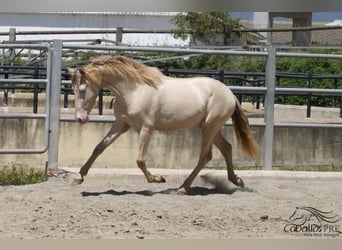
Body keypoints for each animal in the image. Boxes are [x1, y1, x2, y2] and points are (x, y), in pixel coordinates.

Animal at [67, 55, 260, 195]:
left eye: (82, 89)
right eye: (73, 89)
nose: (80, 119)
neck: (134, 90)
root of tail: (229, 93)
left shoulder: (146, 128)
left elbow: (140, 160)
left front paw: (158, 178)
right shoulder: (121, 125)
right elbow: (98, 148)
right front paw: (78, 177)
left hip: (210, 127)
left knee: (205, 156)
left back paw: (183, 188)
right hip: (209, 127)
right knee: (227, 148)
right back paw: (237, 181)